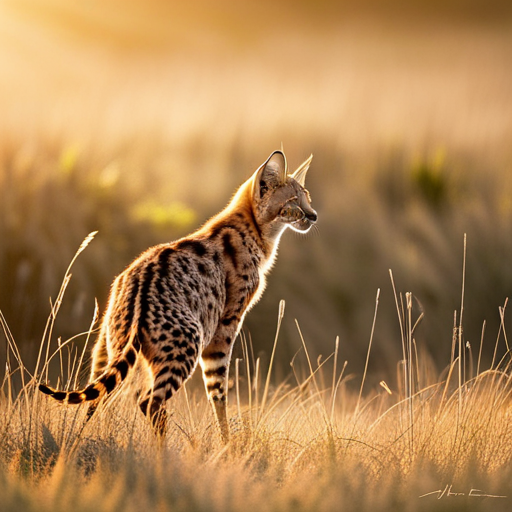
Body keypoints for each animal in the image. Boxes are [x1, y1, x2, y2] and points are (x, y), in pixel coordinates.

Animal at [40, 149, 318, 440]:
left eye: (307, 197)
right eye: (292, 202)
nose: (313, 216)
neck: (253, 230)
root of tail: (136, 290)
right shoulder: (225, 326)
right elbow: (218, 391)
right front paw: (227, 443)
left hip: (108, 348)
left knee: (98, 401)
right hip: (186, 342)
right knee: (149, 401)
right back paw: (163, 450)